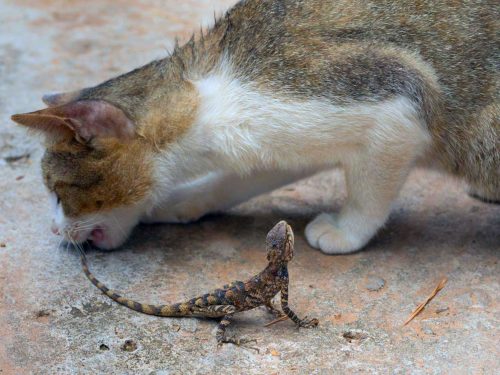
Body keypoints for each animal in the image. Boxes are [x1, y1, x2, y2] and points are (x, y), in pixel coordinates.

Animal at [9, 0, 498, 254]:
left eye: (58, 193)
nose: (53, 230)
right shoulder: (279, 147)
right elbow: (235, 181)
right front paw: (180, 201)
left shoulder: (398, 98)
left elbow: (369, 193)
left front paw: (346, 231)